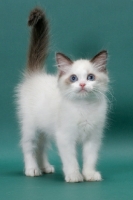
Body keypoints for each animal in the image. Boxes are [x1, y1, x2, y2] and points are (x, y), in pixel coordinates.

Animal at [15, 7, 109, 183]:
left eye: (90, 77)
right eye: (73, 78)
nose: (82, 84)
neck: (84, 107)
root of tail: (36, 74)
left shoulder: (92, 137)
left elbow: (90, 158)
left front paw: (89, 174)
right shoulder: (65, 137)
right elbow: (70, 159)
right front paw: (74, 175)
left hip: (44, 129)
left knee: (41, 147)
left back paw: (45, 167)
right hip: (31, 127)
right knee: (29, 146)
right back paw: (32, 169)